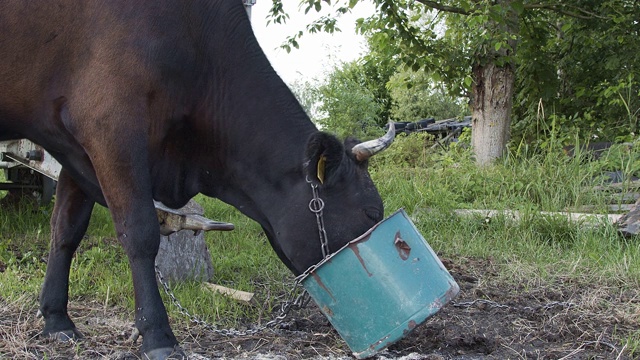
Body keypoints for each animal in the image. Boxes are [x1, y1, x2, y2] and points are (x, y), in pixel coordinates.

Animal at [0, 1, 392, 358]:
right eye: (372, 213)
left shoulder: (74, 148)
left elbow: (66, 231)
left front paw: (57, 320)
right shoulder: (110, 125)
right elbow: (140, 233)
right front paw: (158, 337)